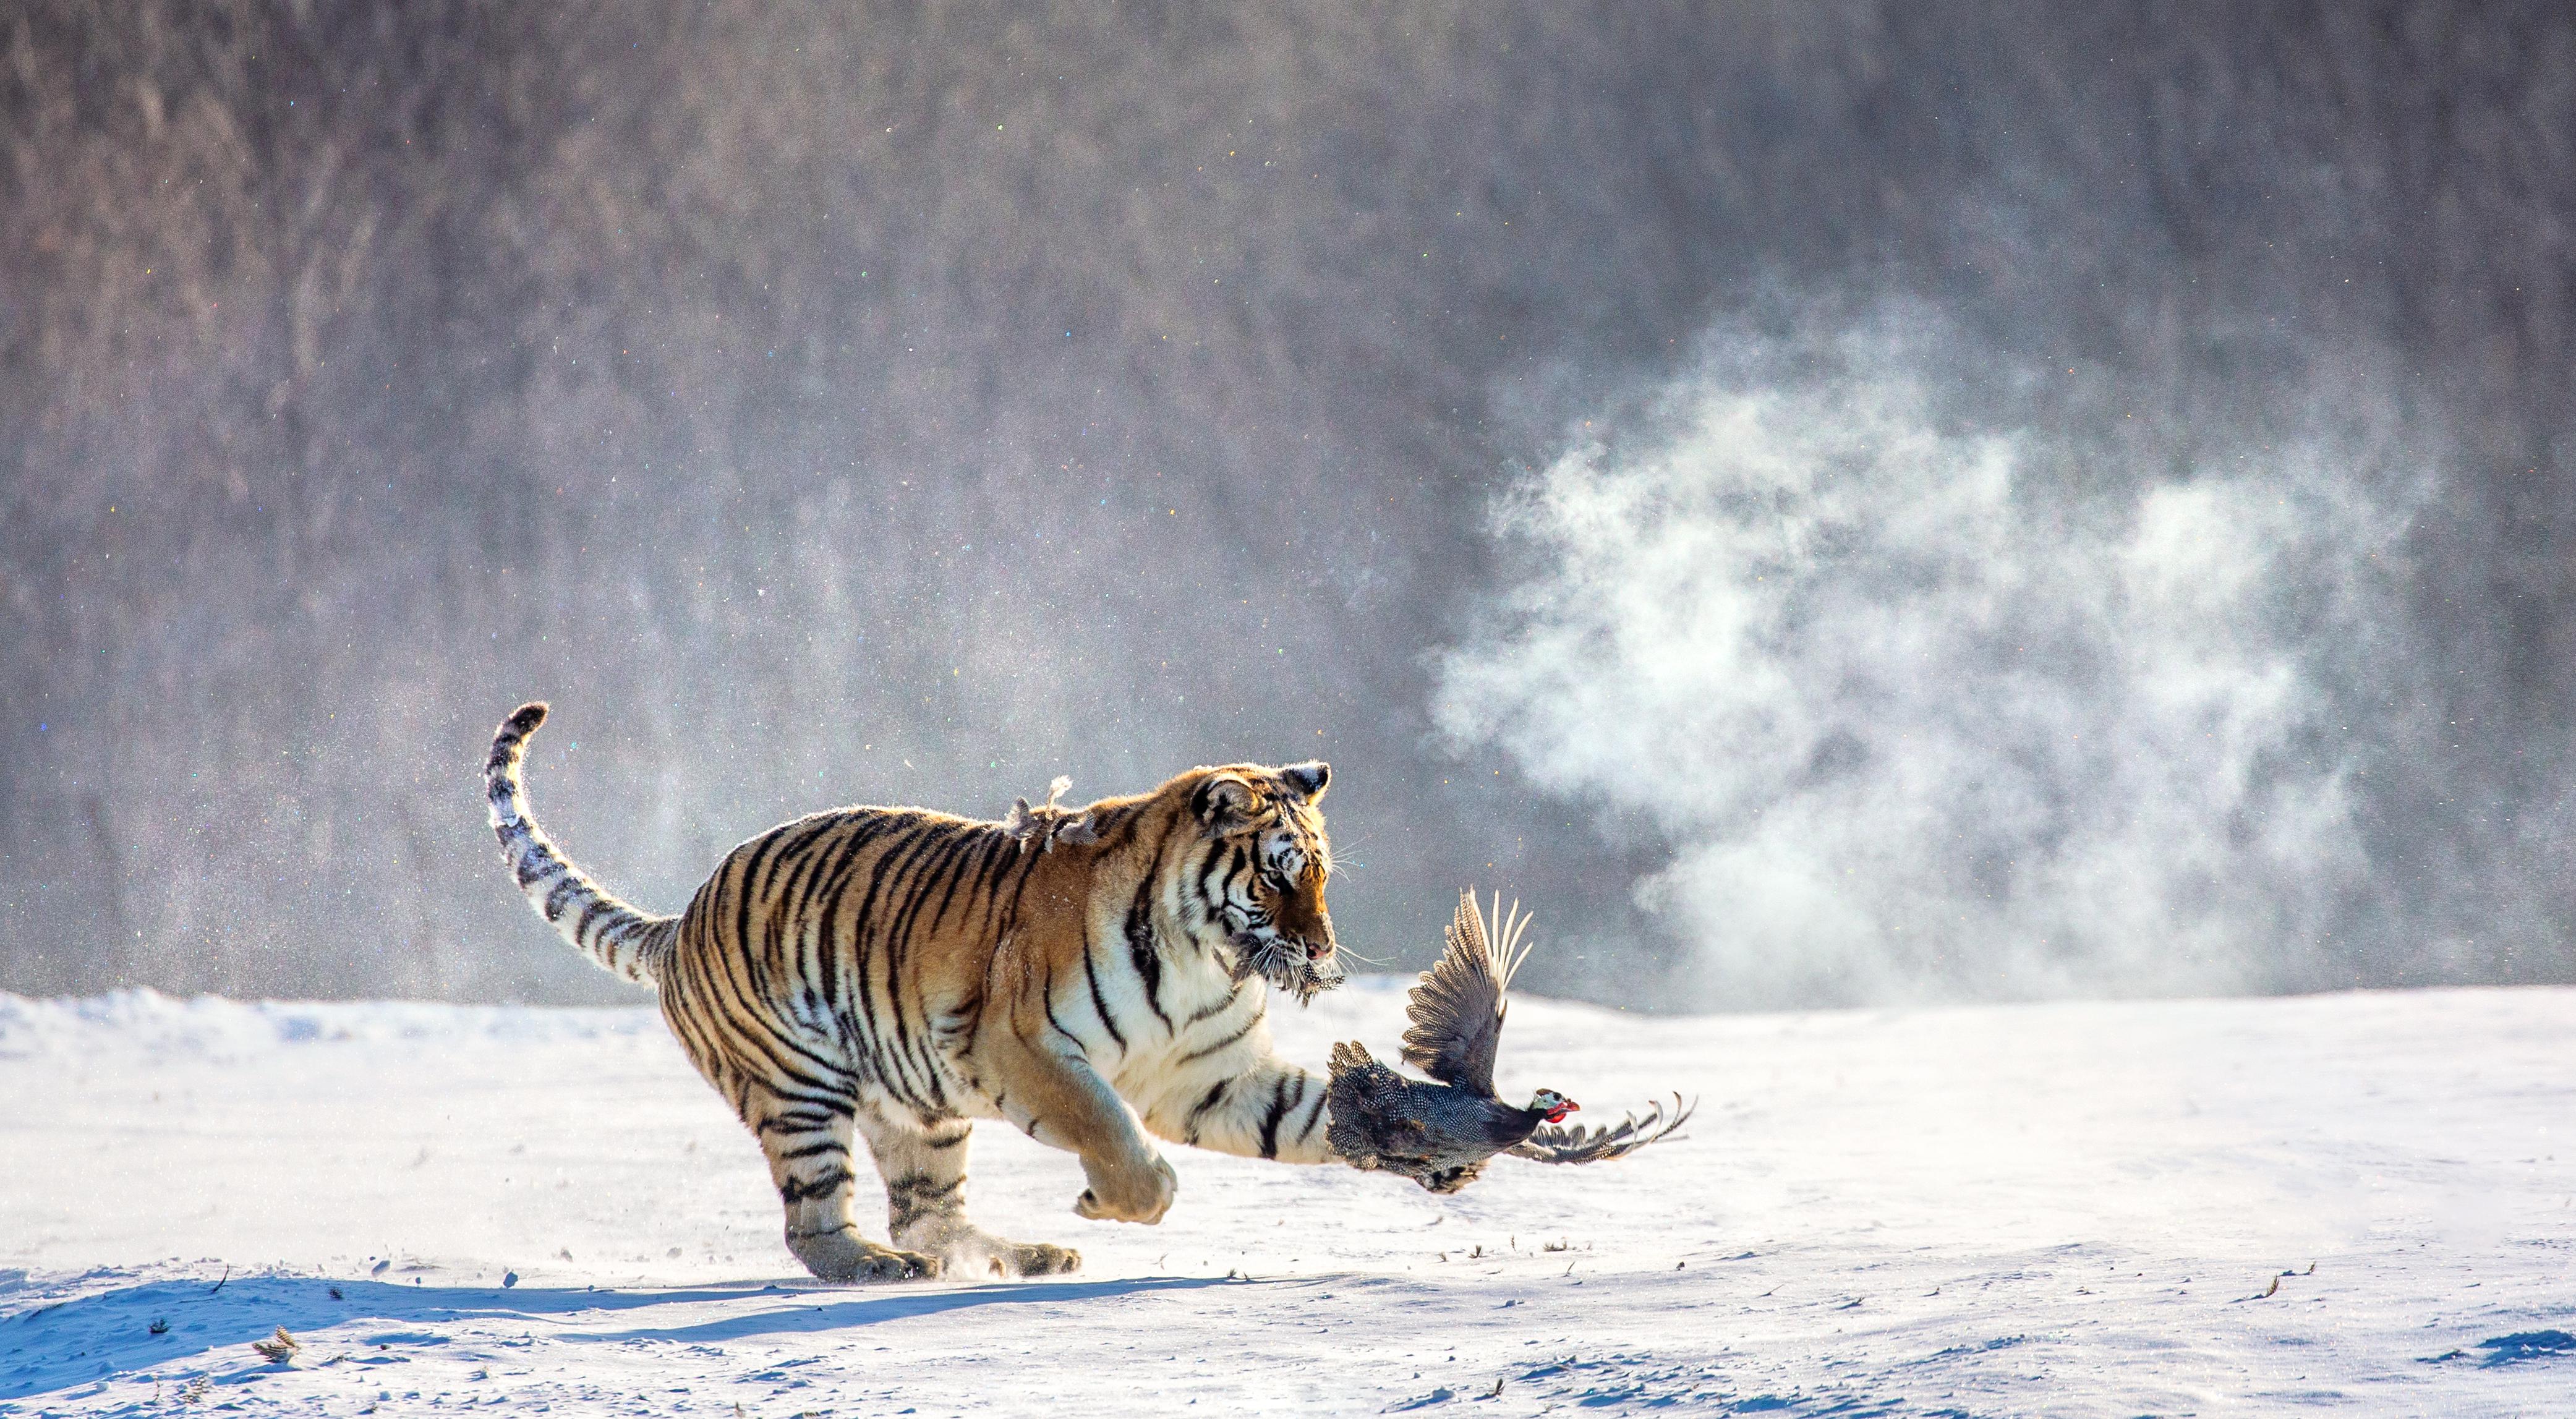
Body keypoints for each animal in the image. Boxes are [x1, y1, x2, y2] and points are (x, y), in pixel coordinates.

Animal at [482, 705, 1349, 1282]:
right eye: (1276, 875)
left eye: (1319, 875)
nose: (1320, 951)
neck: (1202, 955)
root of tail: (682, 920)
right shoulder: (1019, 1044)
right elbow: (1108, 1126)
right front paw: (1114, 1200)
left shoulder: (1212, 1073)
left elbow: (1311, 1115)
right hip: (799, 1086)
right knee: (816, 1223)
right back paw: (878, 1265)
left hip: (919, 1109)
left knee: (927, 1215)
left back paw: (1023, 1256)